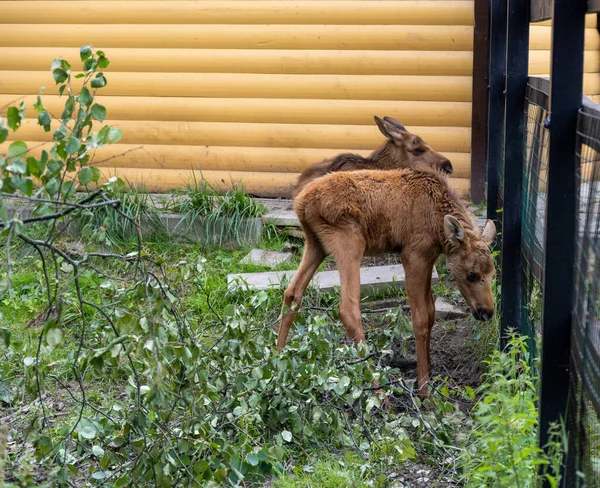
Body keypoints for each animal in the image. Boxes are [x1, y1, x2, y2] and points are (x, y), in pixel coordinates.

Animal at [278, 168, 494, 396]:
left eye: (493, 273)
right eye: (472, 274)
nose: (487, 312)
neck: (439, 229)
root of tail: (301, 204)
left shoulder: (428, 259)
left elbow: (431, 312)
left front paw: (429, 374)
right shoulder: (414, 254)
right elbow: (420, 319)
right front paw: (424, 388)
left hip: (315, 244)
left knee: (292, 293)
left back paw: (278, 362)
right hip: (350, 241)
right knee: (348, 308)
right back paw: (379, 393)